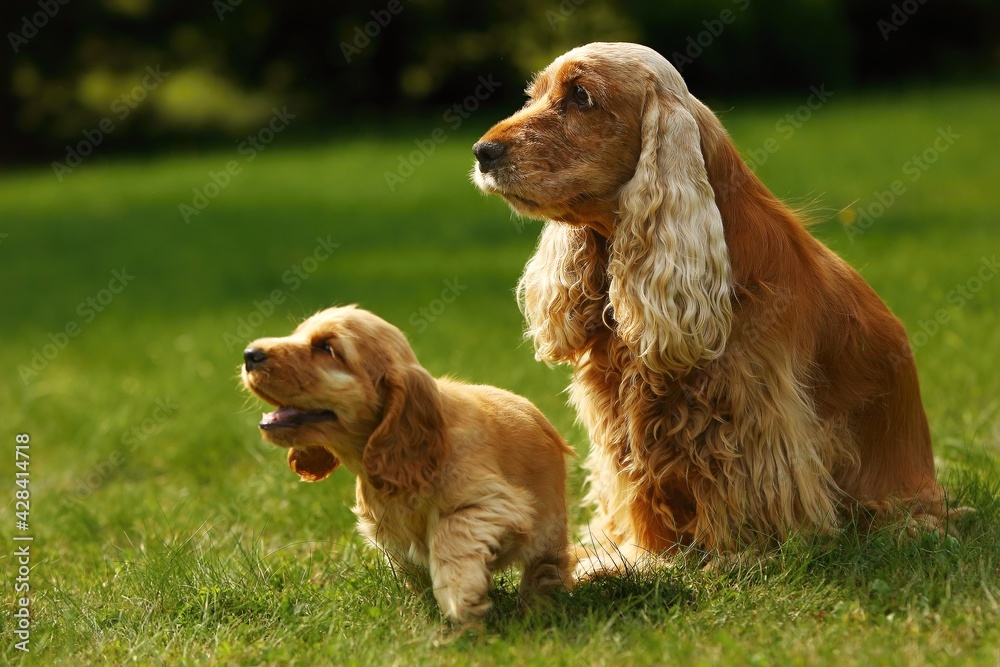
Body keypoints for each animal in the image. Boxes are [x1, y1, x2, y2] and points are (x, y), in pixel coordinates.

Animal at [238, 306, 576, 624]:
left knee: (546, 570)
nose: (249, 354)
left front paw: (458, 592)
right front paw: (423, 609)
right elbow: (413, 573)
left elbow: (448, 532)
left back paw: (537, 610)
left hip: (549, 530)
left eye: (326, 348)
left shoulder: (498, 503)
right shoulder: (391, 535)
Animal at [470, 41, 952, 568]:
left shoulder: (746, 413)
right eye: (533, 95)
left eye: (580, 96)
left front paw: (715, 559)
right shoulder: (619, 411)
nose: (482, 152)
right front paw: (637, 555)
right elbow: (638, 492)